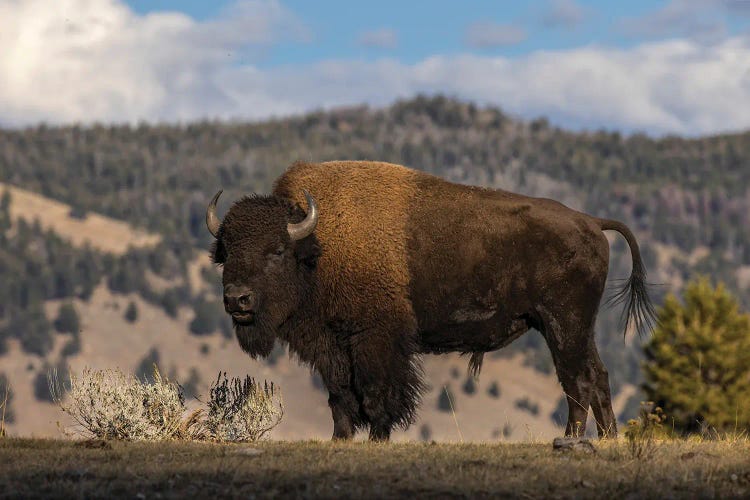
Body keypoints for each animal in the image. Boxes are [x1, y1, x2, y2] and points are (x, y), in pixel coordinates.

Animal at [207, 160, 656, 442]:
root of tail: (591, 222)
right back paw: (602, 439)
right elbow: (340, 396)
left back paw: (575, 440)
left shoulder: (377, 341)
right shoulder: (331, 344)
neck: (318, 245)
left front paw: (379, 438)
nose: (237, 300)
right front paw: (341, 438)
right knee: (593, 377)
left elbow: (377, 394)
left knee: (579, 379)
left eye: (276, 250)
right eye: (226, 251)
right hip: (570, 328)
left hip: (565, 325)